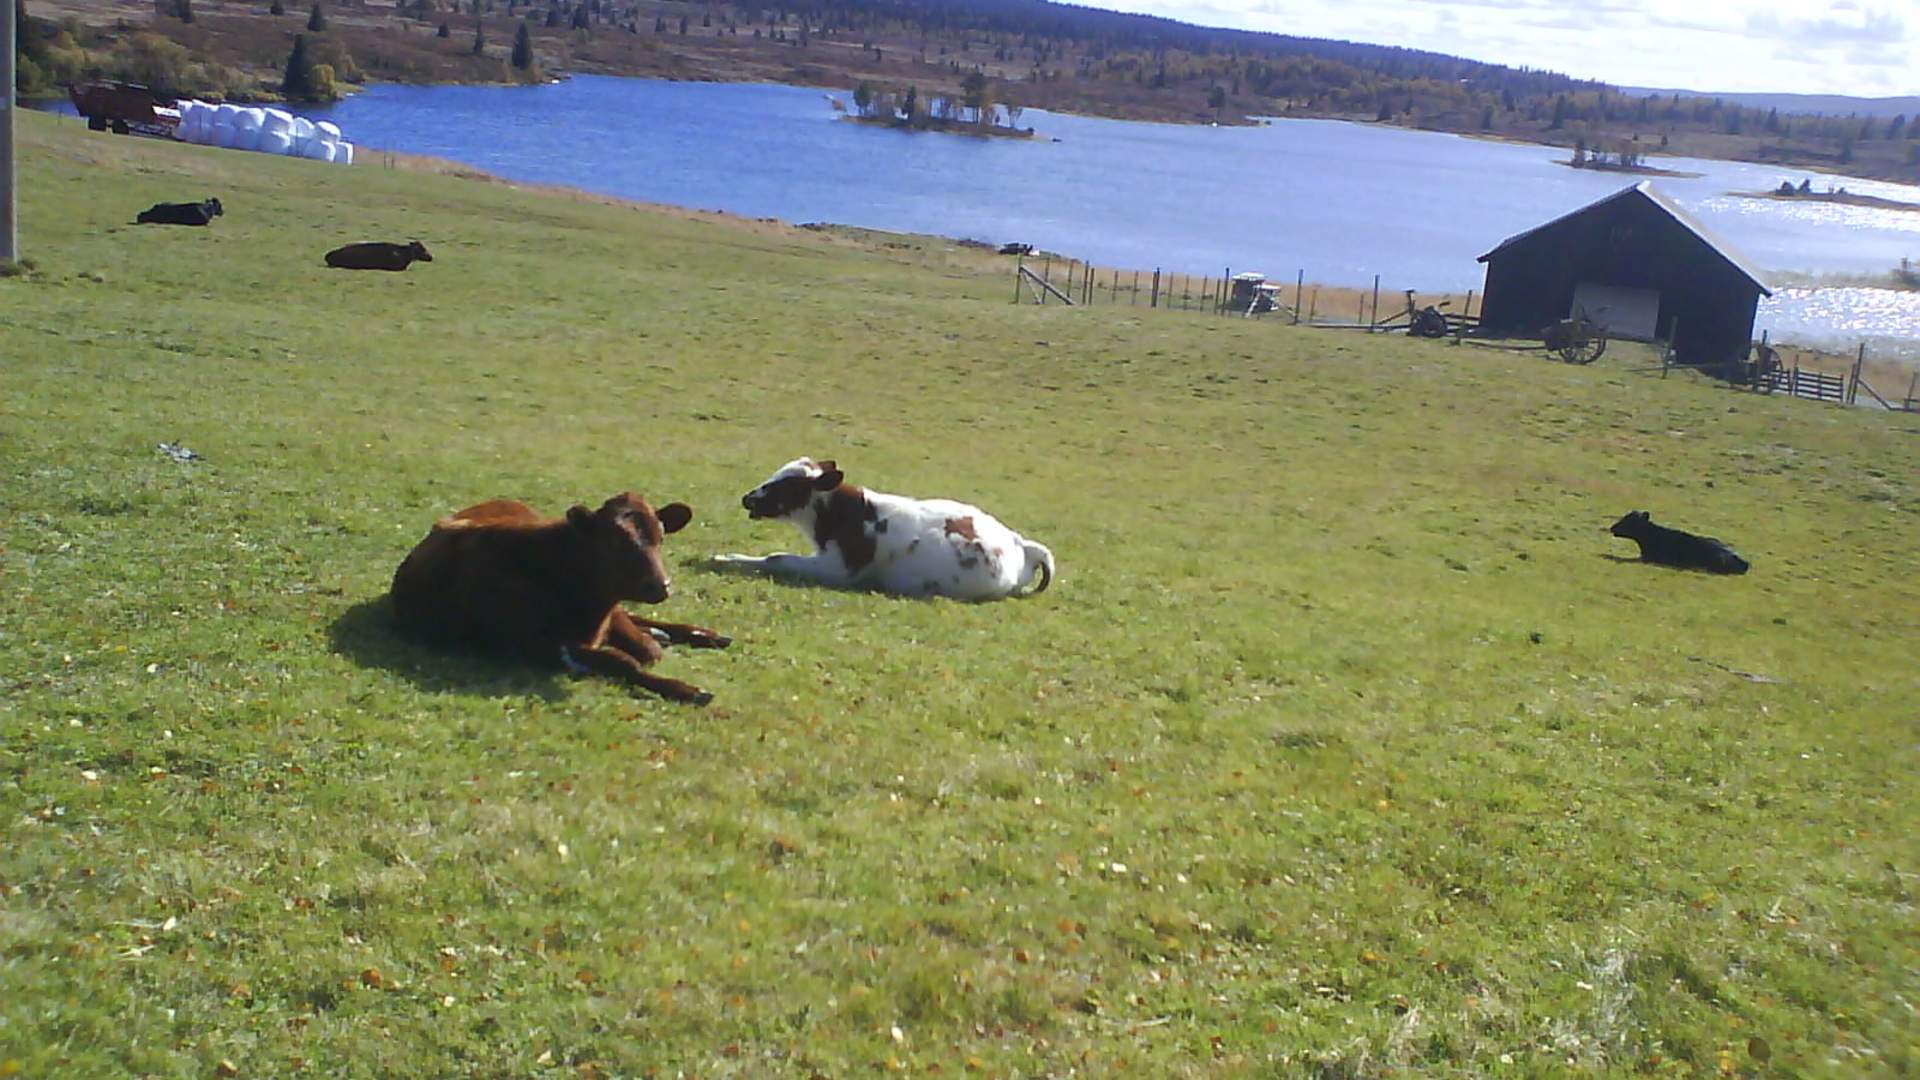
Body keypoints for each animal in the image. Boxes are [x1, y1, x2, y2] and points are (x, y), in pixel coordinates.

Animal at [389, 490, 725, 707]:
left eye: (661, 536)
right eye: (613, 541)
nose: (661, 586)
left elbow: (643, 650)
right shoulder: (530, 642)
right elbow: (624, 660)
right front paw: (686, 689)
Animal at [718, 453, 1059, 595]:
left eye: (788, 485)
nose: (747, 498)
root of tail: (1022, 545)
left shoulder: (837, 569)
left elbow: (776, 559)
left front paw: (725, 558)